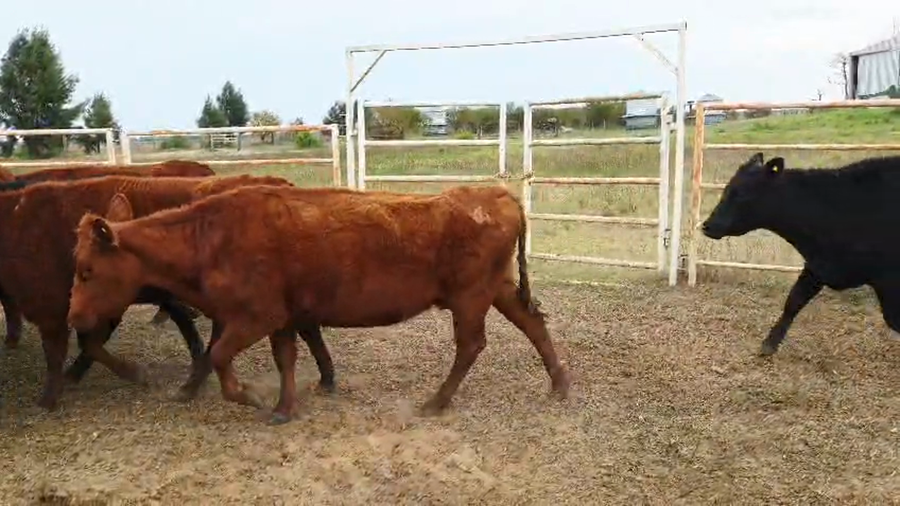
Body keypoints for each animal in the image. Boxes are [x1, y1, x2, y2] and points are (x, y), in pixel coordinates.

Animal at [67, 184, 572, 425]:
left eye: (87, 270)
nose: (73, 316)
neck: (210, 236)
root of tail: (495, 194)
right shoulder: (283, 317)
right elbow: (285, 358)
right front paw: (284, 406)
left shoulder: (257, 316)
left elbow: (220, 354)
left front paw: (251, 396)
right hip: (498, 288)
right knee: (533, 322)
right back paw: (559, 384)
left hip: (470, 297)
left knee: (471, 345)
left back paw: (435, 401)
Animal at [700, 152, 900, 356]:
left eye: (741, 194)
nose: (707, 225)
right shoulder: (817, 265)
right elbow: (794, 300)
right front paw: (769, 344)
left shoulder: (889, 280)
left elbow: (893, 319)